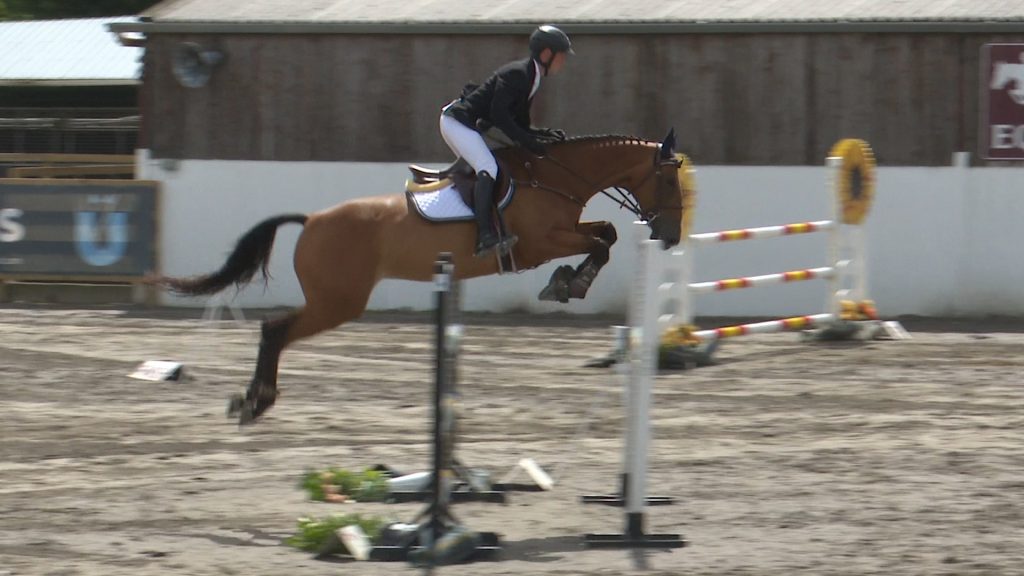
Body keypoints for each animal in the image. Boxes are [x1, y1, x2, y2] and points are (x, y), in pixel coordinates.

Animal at [154, 129, 691, 425]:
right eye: (668, 180)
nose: (669, 236)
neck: (554, 176)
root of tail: (312, 220)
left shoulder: (565, 232)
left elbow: (606, 234)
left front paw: (568, 282)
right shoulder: (541, 243)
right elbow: (600, 242)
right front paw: (567, 284)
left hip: (335, 301)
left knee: (275, 330)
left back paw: (253, 403)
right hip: (338, 302)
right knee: (275, 330)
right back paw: (255, 402)